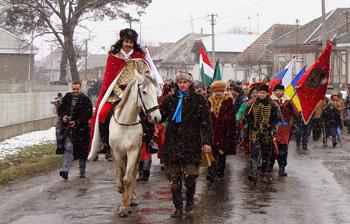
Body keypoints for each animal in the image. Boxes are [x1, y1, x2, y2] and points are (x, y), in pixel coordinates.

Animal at [109, 71, 161, 217]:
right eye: (144, 92)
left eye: (156, 92)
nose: (157, 117)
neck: (126, 123)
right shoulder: (117, 151)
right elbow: (121, 173)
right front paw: (120, 191)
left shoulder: (133, 151)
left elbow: (128, 178)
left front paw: (125, 206)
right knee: (119, 169)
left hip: (137, 153)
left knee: (133, 173)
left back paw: (132, 197)